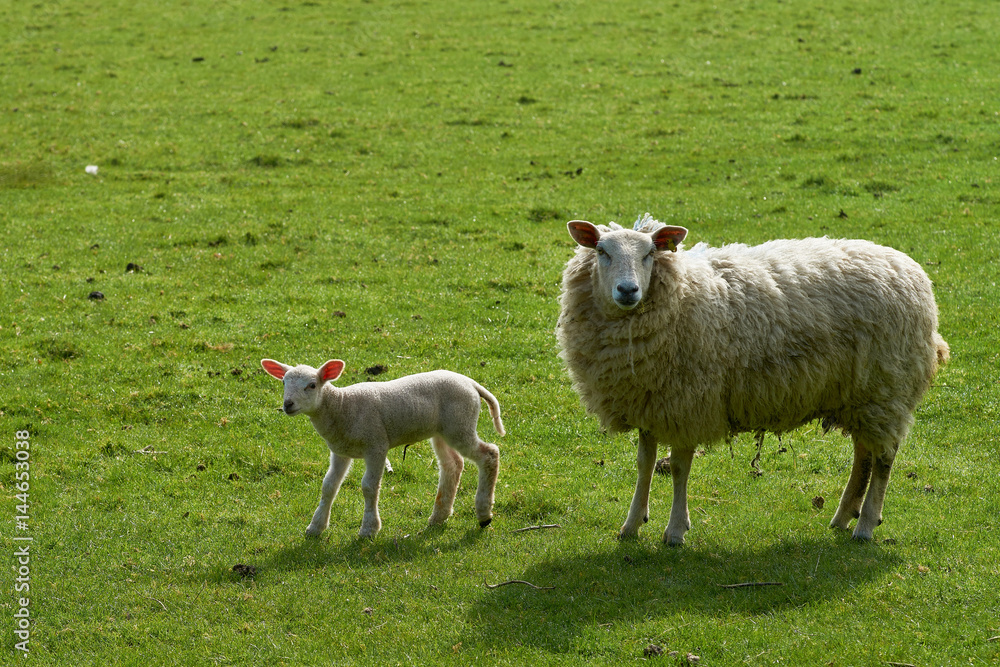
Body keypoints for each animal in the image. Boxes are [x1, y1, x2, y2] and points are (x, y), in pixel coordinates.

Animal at [261, 359, 504, 538]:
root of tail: (471, 383)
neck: (341, 405)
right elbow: (329, 486)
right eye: (283, 383)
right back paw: (439, 516)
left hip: (460, 423)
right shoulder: (340, 450)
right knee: (452, 465)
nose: (288, 405)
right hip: (442, 431)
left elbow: (369, 486)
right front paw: (316, 527)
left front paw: (369, 529)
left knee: (489, 454)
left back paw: (484, 514)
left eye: (312, 385)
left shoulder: (376, 446)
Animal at [555, 214, 949, 545]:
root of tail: (913, 270)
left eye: (650, 253)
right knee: (863, 454)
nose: (628, 290)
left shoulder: (688, 401)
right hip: (861, 395)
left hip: (886, 388)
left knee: (883, 458)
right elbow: (644, 464)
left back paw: (865, 525)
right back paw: (842, 517)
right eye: (601, 251)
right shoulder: (651, 400)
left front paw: (675, 531)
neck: (681, 293)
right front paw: (632, 524)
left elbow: (679, 467)